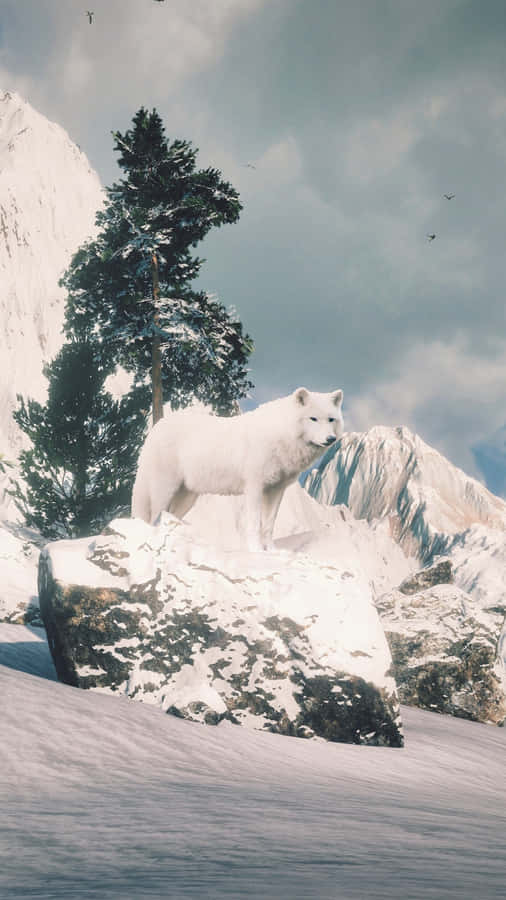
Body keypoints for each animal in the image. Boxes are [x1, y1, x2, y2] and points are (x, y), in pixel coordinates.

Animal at [131, 387, 344, 551]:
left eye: (331, 419)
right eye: (313, 419)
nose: (330, 439)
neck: (281, 434)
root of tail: (157, 426)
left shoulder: (277, 490)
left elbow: (269, 525)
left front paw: (272, 551)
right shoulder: (254, 488)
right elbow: (254, 524)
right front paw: (256, 551)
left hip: (186, 498)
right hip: (163, 491)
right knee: (151, 518)